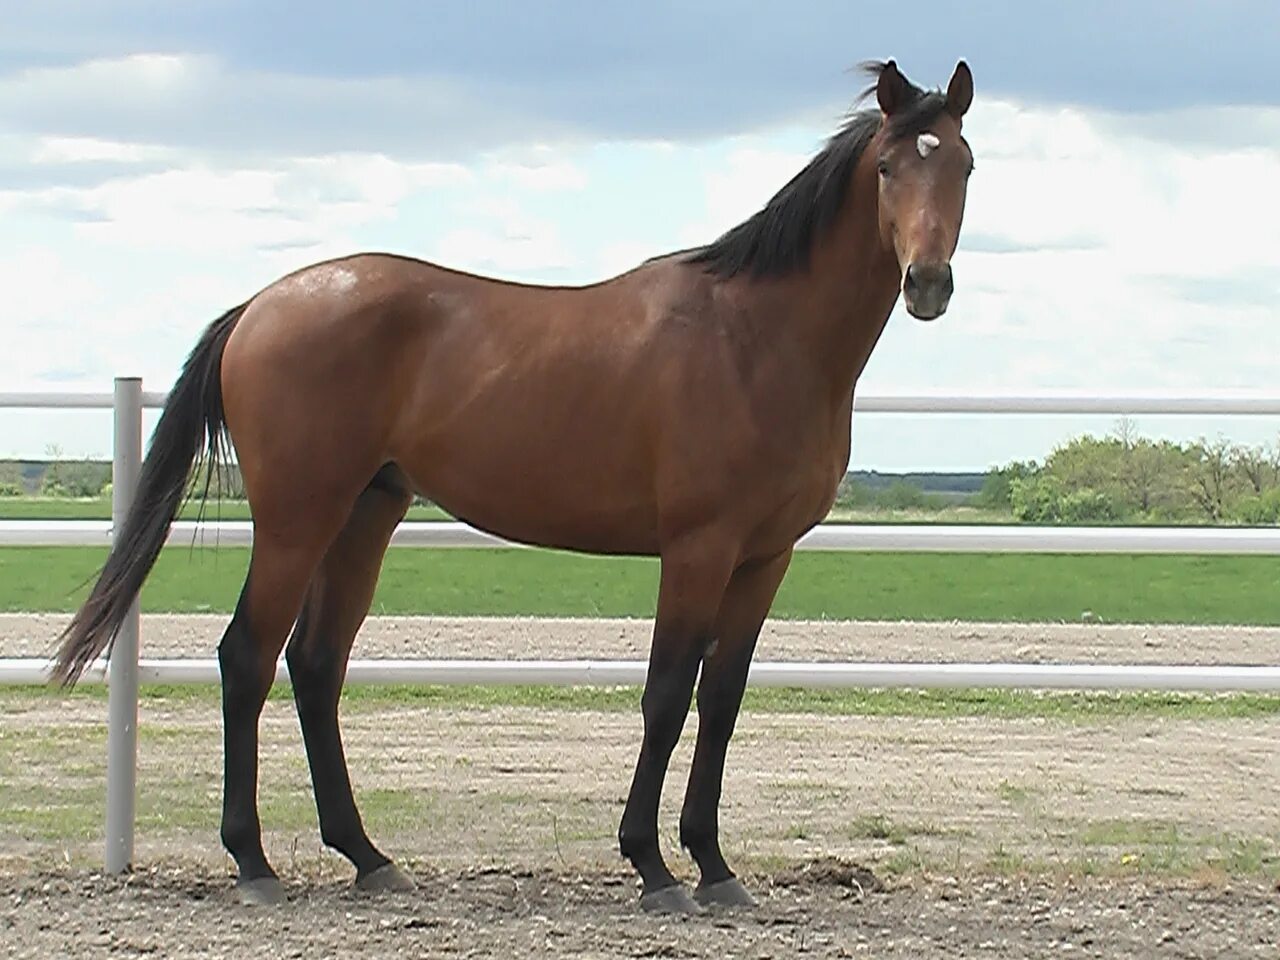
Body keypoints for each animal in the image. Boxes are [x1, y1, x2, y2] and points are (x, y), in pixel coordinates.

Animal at [47, 60, 967, 916]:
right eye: (888, 165)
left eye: (962, 162)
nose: (927, 282)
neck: (755, 338)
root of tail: (261, 306)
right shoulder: (698, 549)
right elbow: (667, 694)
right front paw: (653, 866)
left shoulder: (765, 556)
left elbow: (722, 699)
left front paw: (713, 865)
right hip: (296, 521)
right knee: (248, 657)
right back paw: (254, 862)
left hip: (365, 515)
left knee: (315, 663)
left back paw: (368, 857)